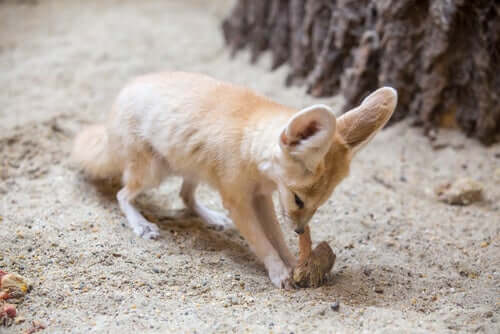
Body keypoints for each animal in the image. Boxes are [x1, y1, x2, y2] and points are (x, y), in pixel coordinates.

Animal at [71, 72, 398, 288]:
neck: (250, 145)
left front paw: (294, 263)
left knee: (185, 196)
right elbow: (262, 241)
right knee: (123, 195)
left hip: (194, 169)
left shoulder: (262, 198)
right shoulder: (238, 201)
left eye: (320, 204)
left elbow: (275, 236)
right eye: (298, 199)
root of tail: (117, 104)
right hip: (153, 172)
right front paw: (279, 271)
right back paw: (141, 223)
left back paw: (210, 217)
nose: (300, 230)